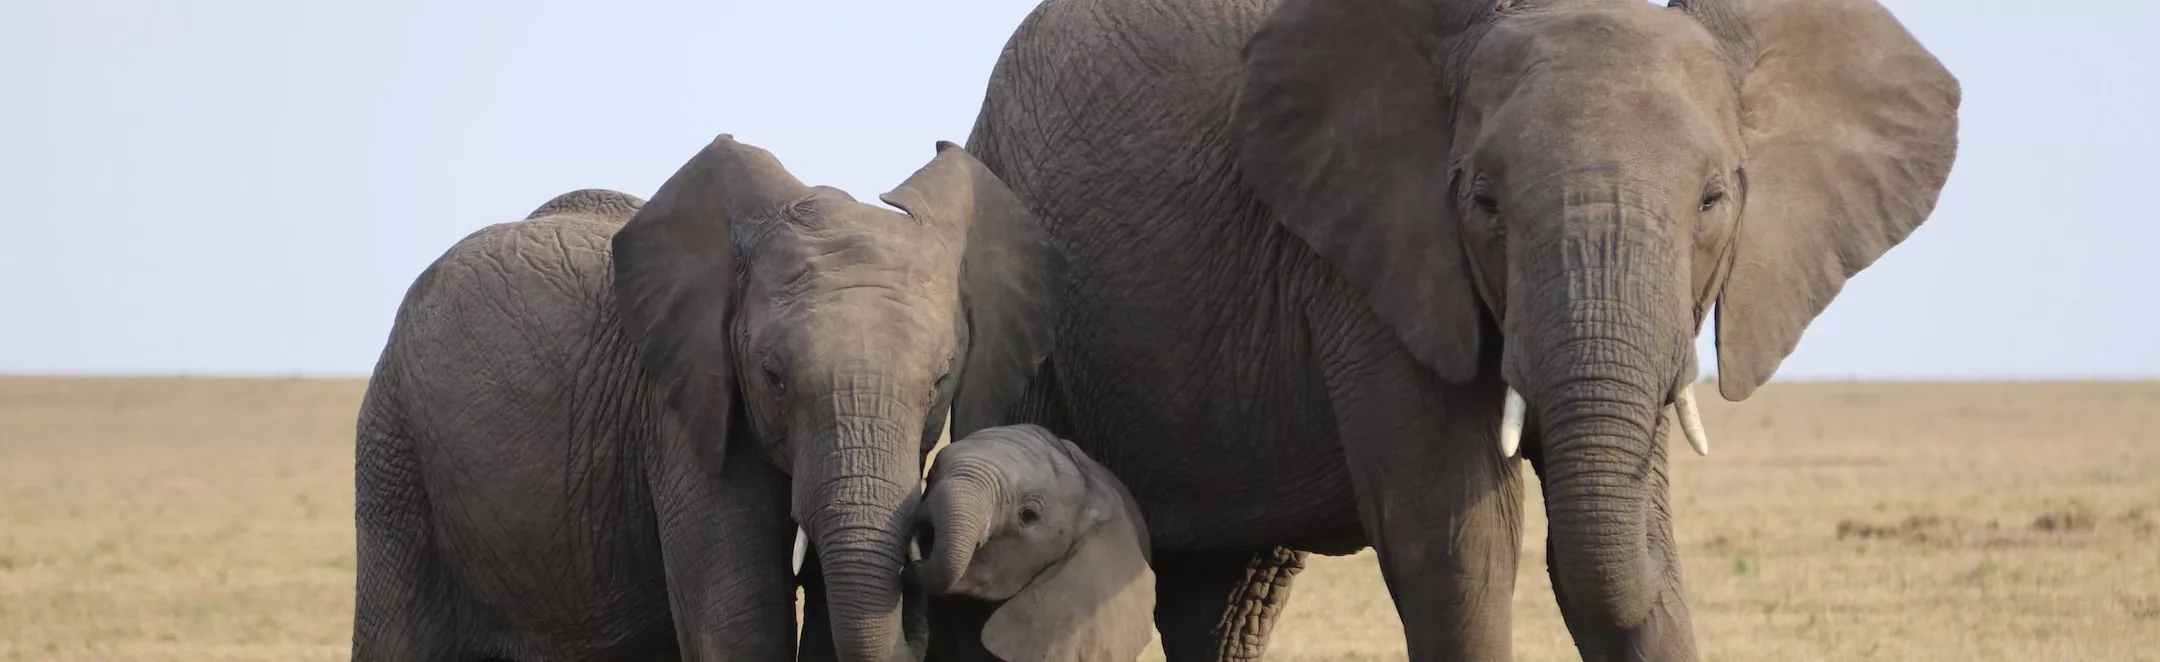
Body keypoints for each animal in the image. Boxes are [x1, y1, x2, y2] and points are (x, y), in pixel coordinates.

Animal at [349, 134, 1064, 661]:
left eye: (940, 381)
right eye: (772, 378)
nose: (920, 563)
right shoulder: (683, 416)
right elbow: (739, 621)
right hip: (394, 451)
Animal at [953, 0, 1959, 659]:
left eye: (1714, 199)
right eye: (1482, 201)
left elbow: (1635, 561)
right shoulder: (1368, 263)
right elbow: (1458, 548)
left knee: (1223, 600)